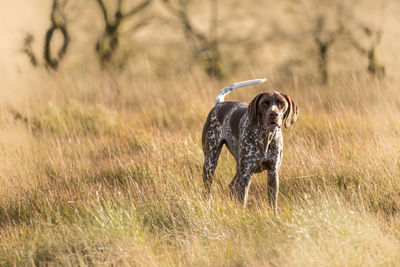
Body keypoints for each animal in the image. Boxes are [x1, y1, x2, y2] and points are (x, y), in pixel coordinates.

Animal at [202, 78, 298, 215]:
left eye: (281, 104)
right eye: (265, 103)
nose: (273, 114)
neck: (265, 137)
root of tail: (219, 104)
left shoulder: (273, 174)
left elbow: (272, 203)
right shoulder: (246, 175)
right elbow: (243, 201)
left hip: (238, 168)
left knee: (231, 185)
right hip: (210, 162)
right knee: (208, 188)